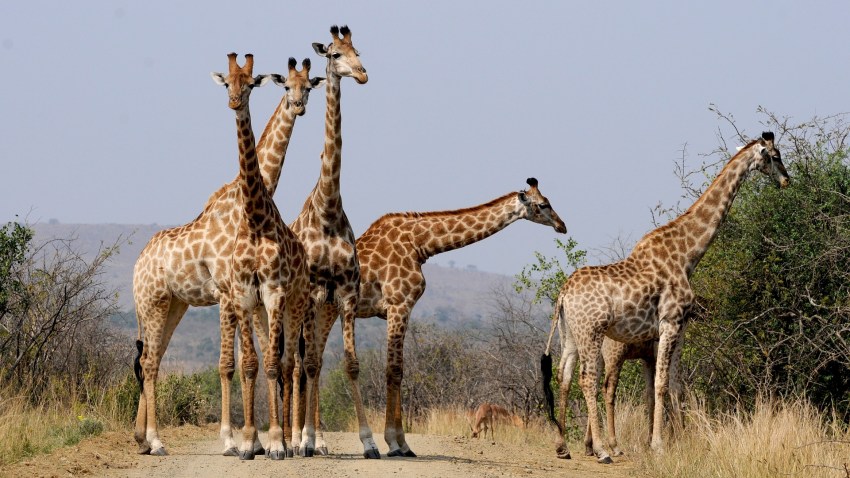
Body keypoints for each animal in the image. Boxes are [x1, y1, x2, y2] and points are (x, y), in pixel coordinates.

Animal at [131, 56, 322, 457]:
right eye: (286, 87)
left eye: (308, 86)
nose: (298, 105)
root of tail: (137, 264)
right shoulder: (226, 293)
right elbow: (228, 364)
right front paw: (233, 440)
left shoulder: (240, 295)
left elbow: (247, 361)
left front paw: (255, 440)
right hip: (153, 302)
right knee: (150, 362)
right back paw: (155, 440)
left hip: (173, 305)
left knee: (151, 357)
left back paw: (142, 438)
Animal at [355, 178, 567, 456]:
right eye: (543, 204)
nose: (562, 226)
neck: (419, 243)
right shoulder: (399, 304)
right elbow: (394, 371)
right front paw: (396, 444)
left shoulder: (398, 308)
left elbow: (397, 370)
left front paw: (399, 443)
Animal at [544, 132, 789, 463]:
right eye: (775, 156)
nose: (787, 180)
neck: (688, 254)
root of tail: (563, 293)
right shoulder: (671, 322)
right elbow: (661, 384)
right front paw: (659, 445)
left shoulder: (674, 328)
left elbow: (672, 385)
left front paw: (673, 441)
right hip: (592, 331)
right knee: (589, 379)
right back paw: (603, 450)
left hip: (569, 333)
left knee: (564, 375)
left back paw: (563, 446)